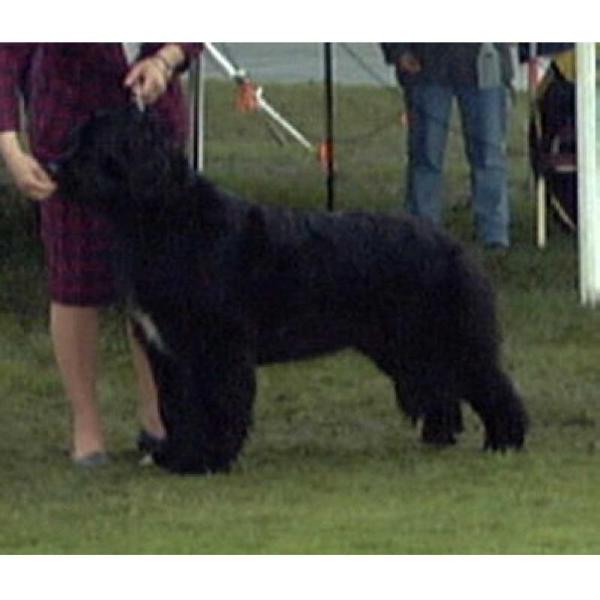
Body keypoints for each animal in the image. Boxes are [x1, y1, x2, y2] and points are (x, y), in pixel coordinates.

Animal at [52, 106, 528, 474]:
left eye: (94, 144)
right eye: (74, 136)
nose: (55, 168)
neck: (163, 217)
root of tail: (453, 244)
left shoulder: (214, 344)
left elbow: (215, 402)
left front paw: (207, 460)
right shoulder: (167, 349)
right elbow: (178, 407)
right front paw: (177, 455)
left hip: (445, 335)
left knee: (489, 382)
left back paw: (505, 440)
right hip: (405, 345)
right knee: (440, 387)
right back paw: (440, 435)